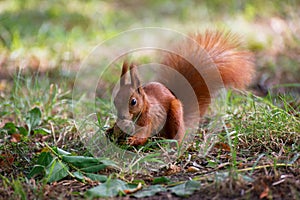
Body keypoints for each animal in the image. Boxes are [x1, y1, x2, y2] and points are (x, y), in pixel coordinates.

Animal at [111, 30, 254, 146]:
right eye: (115, 101)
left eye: (133, 102)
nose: (122, 116)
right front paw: (111, 131)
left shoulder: (150, 117)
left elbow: (144, 134)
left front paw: (132, 140)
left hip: (175, 114)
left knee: (177, 136)